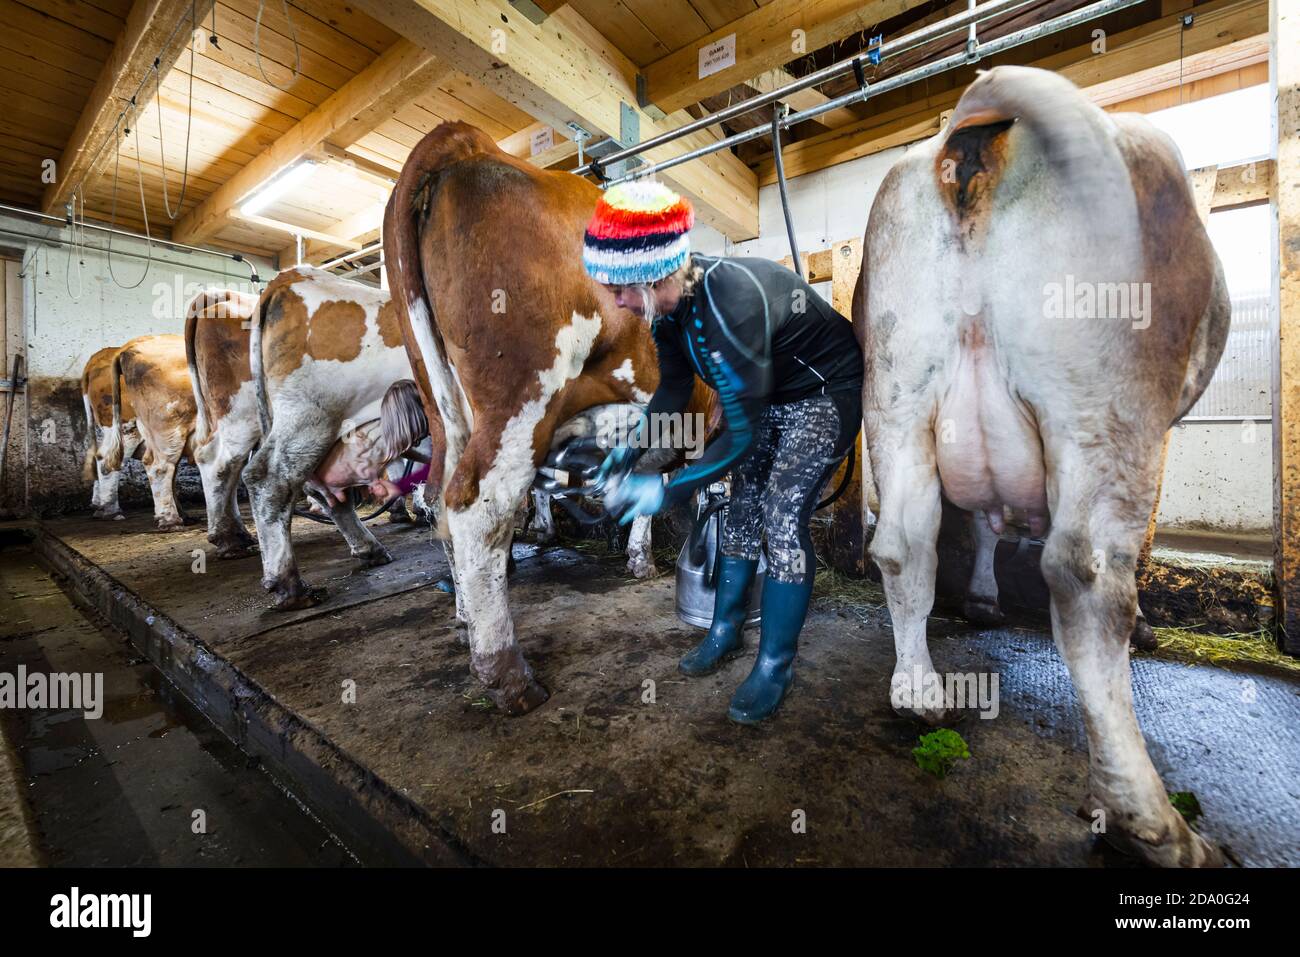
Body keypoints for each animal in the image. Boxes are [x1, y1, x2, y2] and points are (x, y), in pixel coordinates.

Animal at [384, 119, 712, 712]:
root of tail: (467, 142)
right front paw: (644, 558)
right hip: (521, 396)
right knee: (476, 505)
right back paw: (507, 674)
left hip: (442, 401)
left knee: (436, 496)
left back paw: (466, 619)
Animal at [863, 63, 1227, 863]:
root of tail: (978, 127)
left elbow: (982, 525)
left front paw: (982, 600)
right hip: (1107, 402)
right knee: (1087, 576)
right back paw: (1151, 821)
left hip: (897, 392)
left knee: (903, 545)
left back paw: (921, 697)